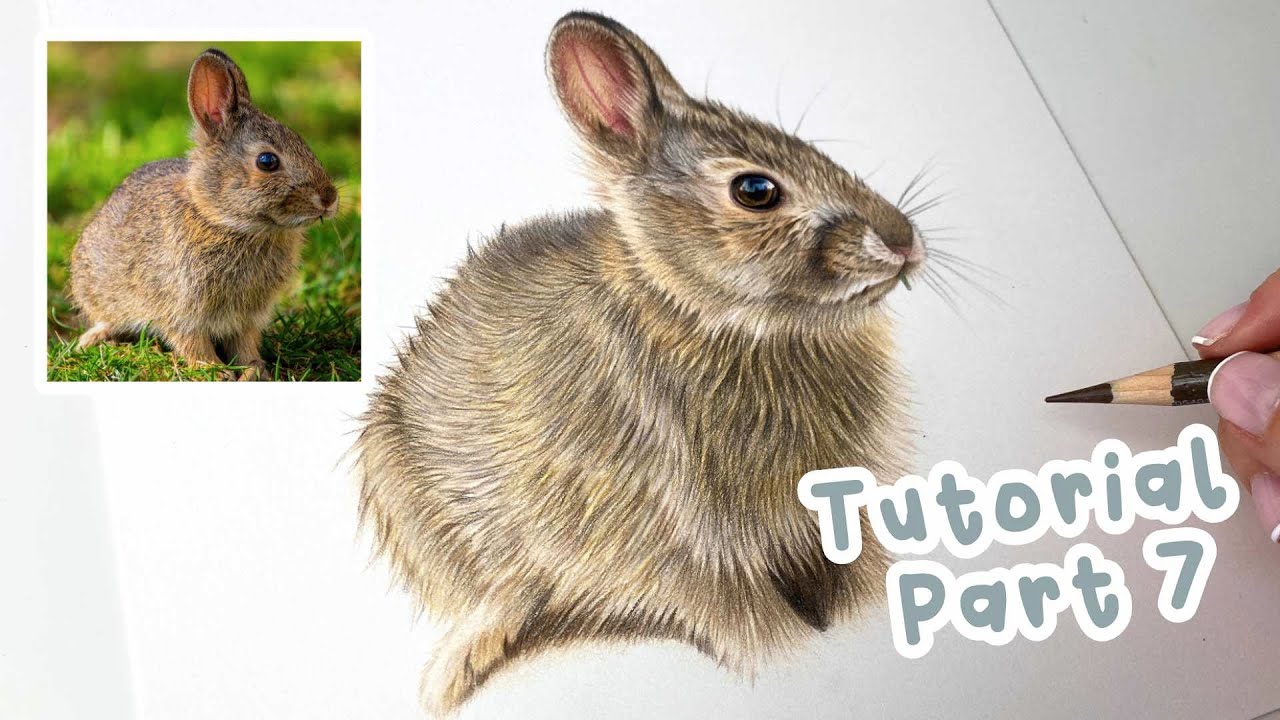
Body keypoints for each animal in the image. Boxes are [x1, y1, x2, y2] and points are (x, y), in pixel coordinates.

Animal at [67, 48, 337, 381]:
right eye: (267, 161)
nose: (329, 198)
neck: (224, 222)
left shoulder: (247, 317)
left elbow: (245, 343)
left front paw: (254, 370)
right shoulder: (180, 308)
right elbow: (191, 342)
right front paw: (214, 371)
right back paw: (94, 339)